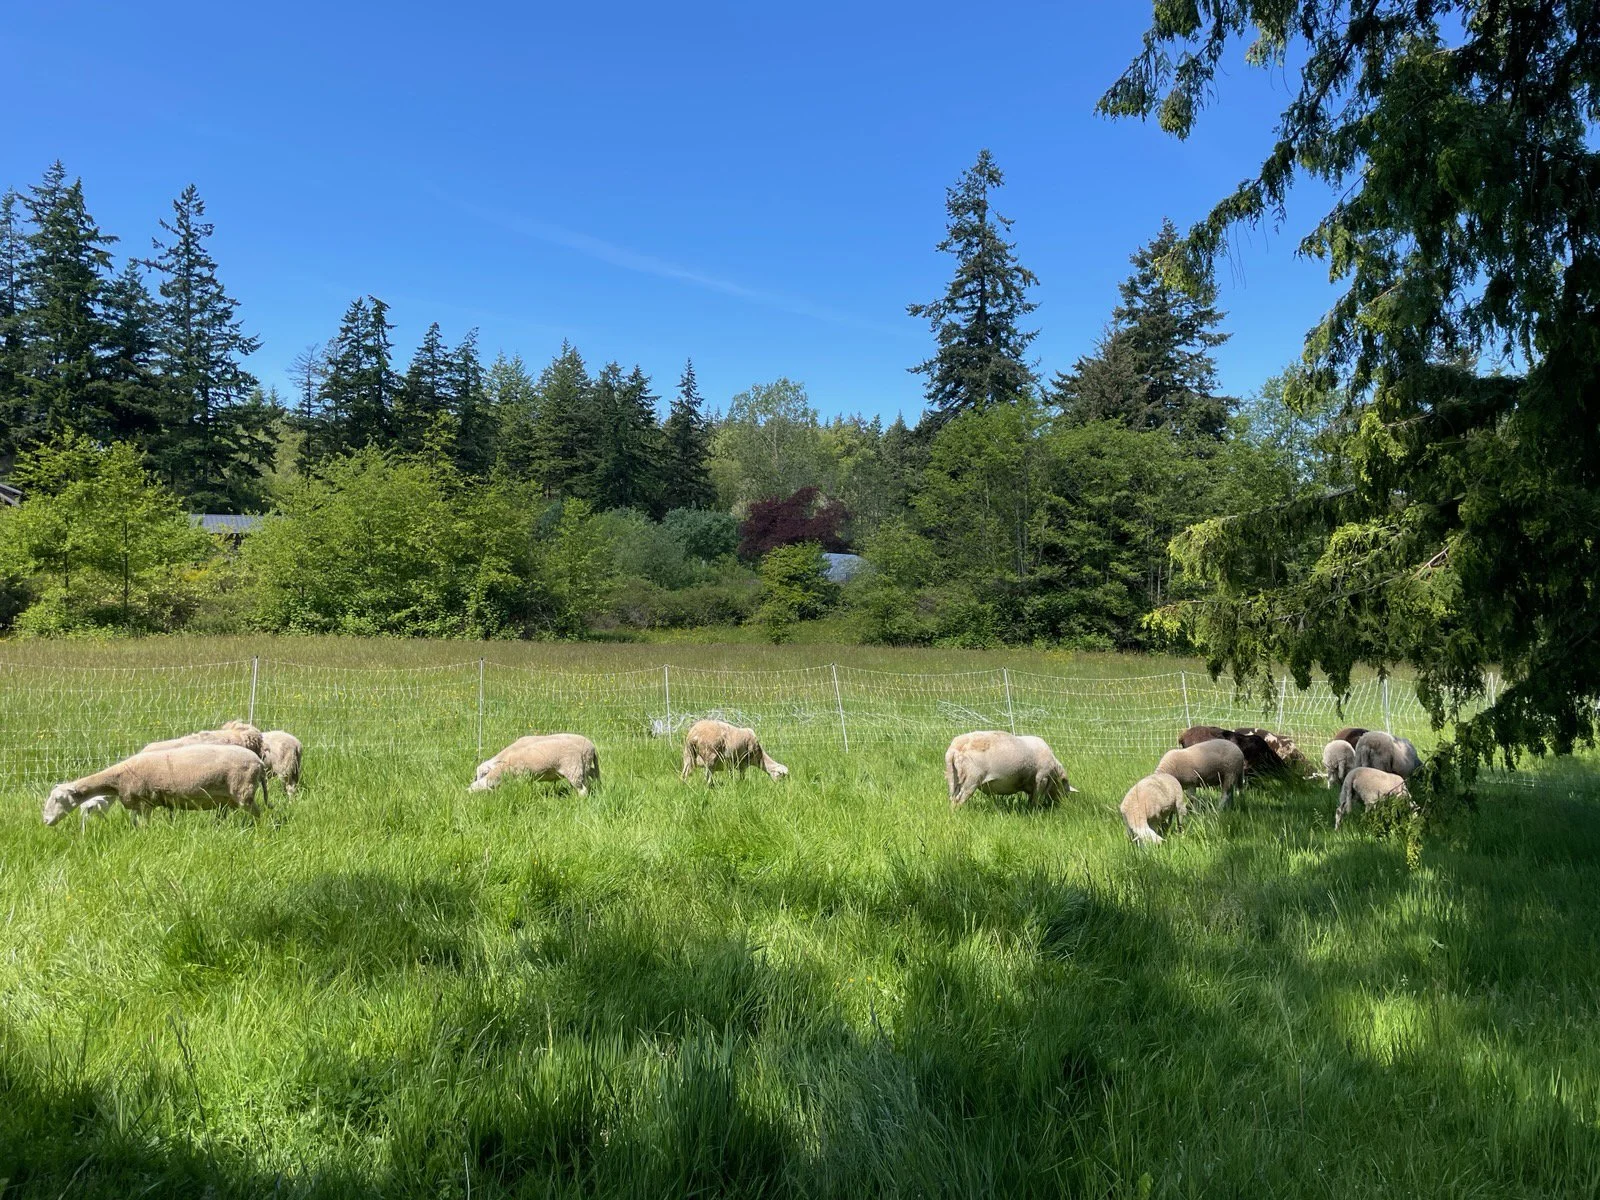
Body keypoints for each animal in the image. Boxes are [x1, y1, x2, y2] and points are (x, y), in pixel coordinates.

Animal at [43, 744, 267, 827]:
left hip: (243, 791)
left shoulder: (144, 802)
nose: (45, 821)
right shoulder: (138, 803)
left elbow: (145, 826)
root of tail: (259, 762)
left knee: (258, 814)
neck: (116, 780)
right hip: (227, 796)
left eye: (58, 799)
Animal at [471, 733, 599, 796]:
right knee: (593, 775)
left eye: (483, 774)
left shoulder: (522, 776)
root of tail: (592, 745)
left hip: (574, 769)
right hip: (584, 766)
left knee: (582, 789)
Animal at [944, 731, 1073, 808]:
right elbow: (1036, 799)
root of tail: (955, 748)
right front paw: (1035, 811)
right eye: (1065, 790)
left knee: (953, 797)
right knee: (959, 800)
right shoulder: (1041, 778)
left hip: (954, 776)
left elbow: (1031, 798)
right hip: (971, 779)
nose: (1063, 805)